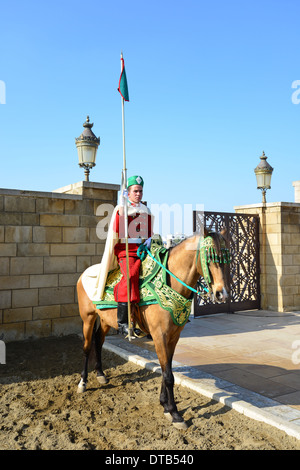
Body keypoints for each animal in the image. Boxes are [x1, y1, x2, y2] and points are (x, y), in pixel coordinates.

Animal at [76, 228, 229, 430]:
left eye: (227, 256)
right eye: (210, 256)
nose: (222, 294)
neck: (170, 281)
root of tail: (85, 274)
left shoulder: (173, 337)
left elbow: (167, 370)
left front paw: (165, 405)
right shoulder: (159, 336)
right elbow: (168, 375)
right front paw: (175, 413)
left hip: (105, 320)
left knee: (98, 341)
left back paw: (101, 374)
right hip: (88, 318)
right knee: (86, 347)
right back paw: (83, 382)